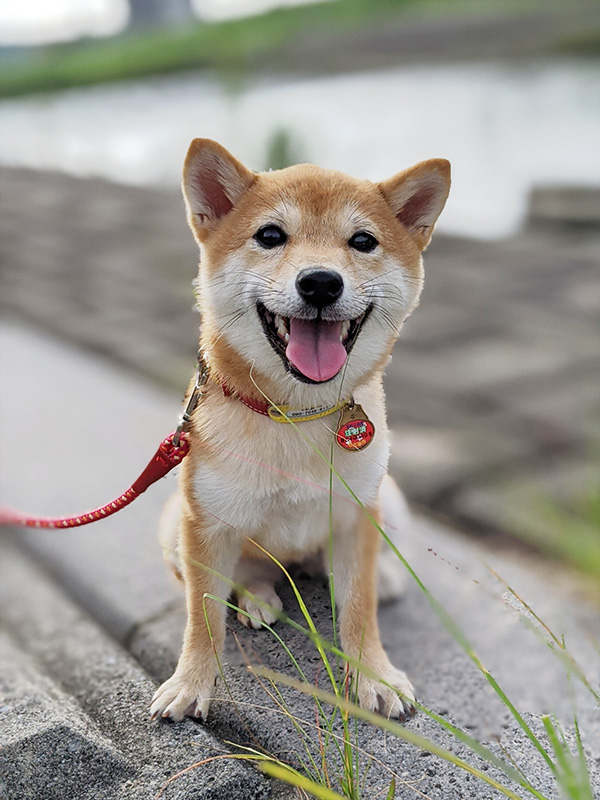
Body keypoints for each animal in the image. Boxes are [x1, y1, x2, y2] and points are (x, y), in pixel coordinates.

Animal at [150, 139, 450, 724]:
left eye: (363, 241)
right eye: (270, 235)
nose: (320, 281)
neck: (296, 415)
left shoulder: (358, 515)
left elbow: (359, 610)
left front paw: (374, 674)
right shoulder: (206, 523)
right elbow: (203, 617)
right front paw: (190, 682)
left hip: (389, 499)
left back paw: (381, 579)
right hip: (176, 525)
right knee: (249, 573)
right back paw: (257, 598)